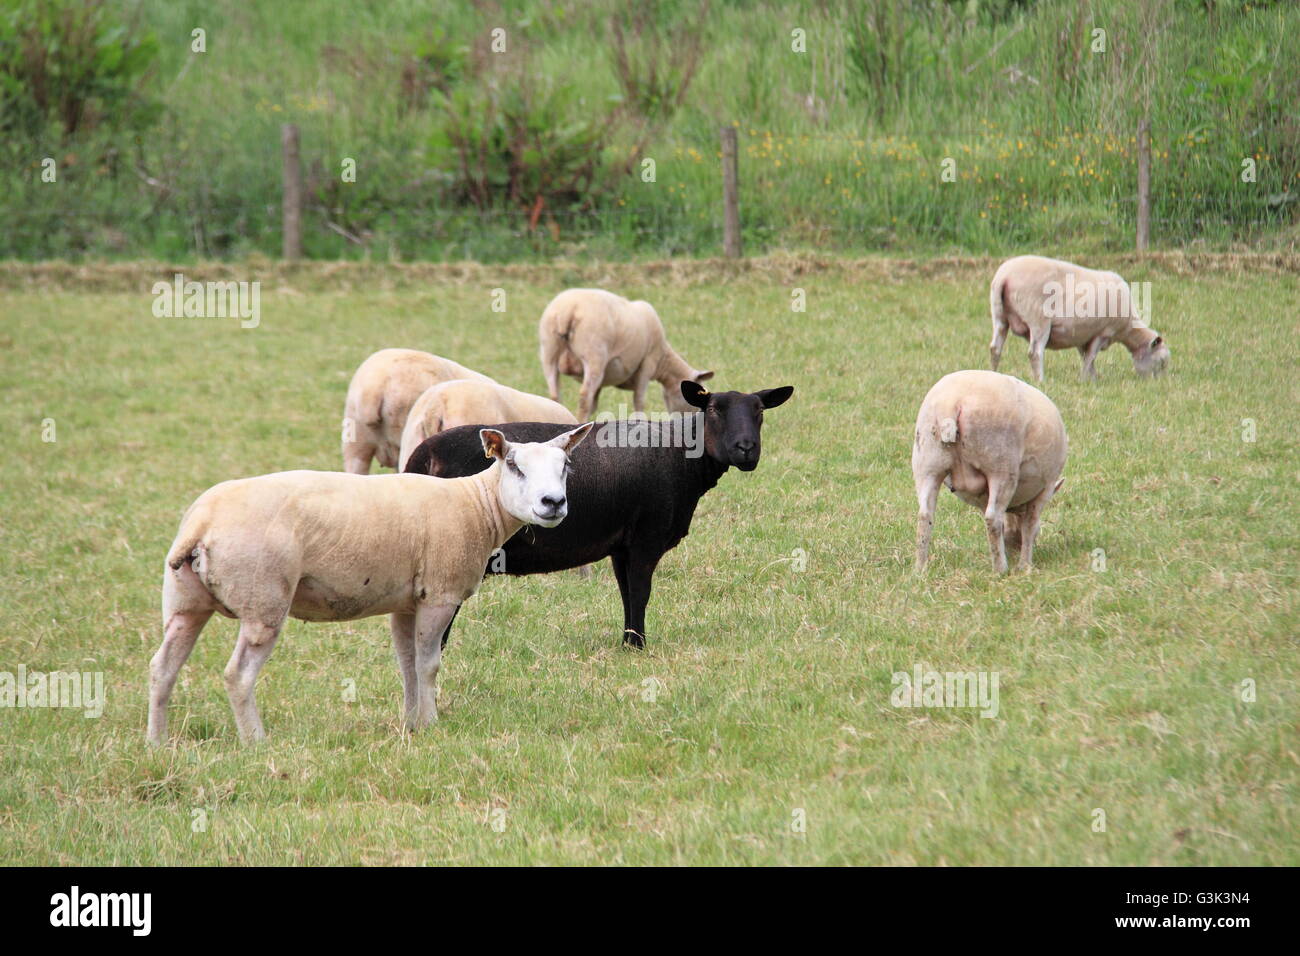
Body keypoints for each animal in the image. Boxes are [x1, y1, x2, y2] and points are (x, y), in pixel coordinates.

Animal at [147, 423, 594, 745]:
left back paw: (158, 743)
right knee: (237, 676)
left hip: (184, 601)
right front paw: (432, 724)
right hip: (263, 600)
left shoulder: (407, 602)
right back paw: (256, 741)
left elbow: (407, 663)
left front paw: (412, 723)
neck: (475, 504)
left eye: (565, 468)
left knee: (162, 668)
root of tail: (202, 522)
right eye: (514, 466)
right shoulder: (441, 594)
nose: (554, 503)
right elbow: (429, 664)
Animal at [538, 288, 714, 421]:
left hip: (549, 352)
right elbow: (639, 400)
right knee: (584, 397)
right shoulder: (647, 363)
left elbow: (594, 404)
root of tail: (568, 310)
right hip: (594, 354)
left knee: (555, 395)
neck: (663, 362)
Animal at [913, 370, 1067, 574]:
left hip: (927, 463)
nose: (1014, 547)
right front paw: (1025, 565)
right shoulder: (1046, 488)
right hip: (1001, 465)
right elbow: (1030, 525)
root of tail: (952, 402)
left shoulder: (982, 498)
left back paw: (919, 569)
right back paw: (1001, 570)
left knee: (925, 515)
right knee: (992, 518)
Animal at [989, 255, 1170, 381]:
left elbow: (1086, 358)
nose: (1158, 384)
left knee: (995, 348)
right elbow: (1090, 358)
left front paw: (1093, 378)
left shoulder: (1082, 336)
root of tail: (1003, 276)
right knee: (1035, 353)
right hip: (1038, 320)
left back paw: (992, 374)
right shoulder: (1102, 332)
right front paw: (1085, 380)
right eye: (1161, 362)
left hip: (999, 316)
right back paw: (1041, 380)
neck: (1127, 329)